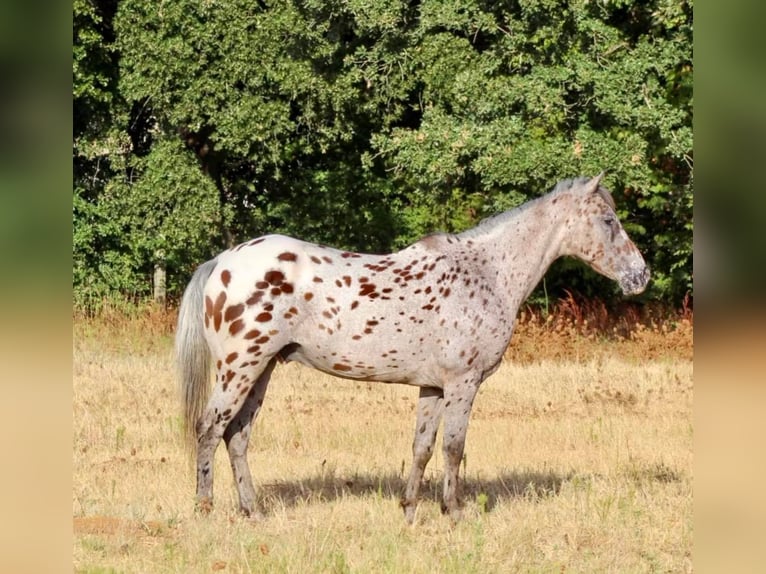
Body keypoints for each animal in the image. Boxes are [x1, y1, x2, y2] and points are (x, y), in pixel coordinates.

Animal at [177, 173, 652, 524]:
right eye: (608, 221)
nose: (640, 276)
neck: (487, 272)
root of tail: (221, 262)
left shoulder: (433, 388)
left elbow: (421, 447)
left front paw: (409, 511)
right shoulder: (463, 383)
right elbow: (454, 448)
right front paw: (454, 513)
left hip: (263, 370)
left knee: (237, 436)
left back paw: (253, 512)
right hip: (240, 368)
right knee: (210, 429)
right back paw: (204, 510)